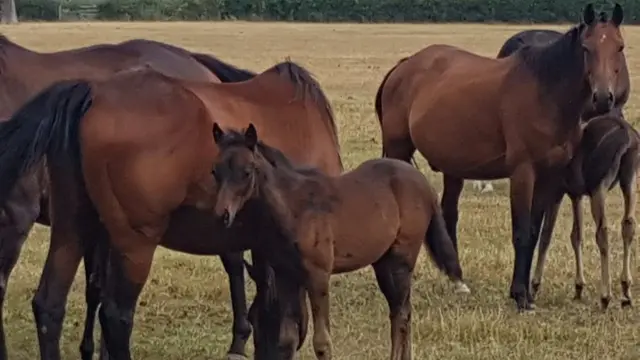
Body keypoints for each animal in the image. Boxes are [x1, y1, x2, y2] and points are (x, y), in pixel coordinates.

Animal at [212, 124, 468, 360]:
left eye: (246, 172)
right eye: (215, 171)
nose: (222, 215)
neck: (295, 207)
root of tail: (425, 184)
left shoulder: (318, 276)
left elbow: (322, 342)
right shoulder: (286, 277)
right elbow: (287, 338)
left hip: (401, 258)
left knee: (401, 313)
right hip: (383, 262)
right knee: (401, 311)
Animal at [372, 2, 628, 310]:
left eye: (620, 47)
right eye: (587, 48)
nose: (603, 98)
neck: (546, 93)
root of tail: (404, 67)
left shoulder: (548, 177)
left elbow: (534, 231)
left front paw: (526, 293)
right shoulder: (523, 172)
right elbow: (521, 232)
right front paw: (519, 295)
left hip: (453, 165)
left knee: (448, 214)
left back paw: (457, 280)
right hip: (398, 150)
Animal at [528, 114, 640, 308]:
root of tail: (627, 137)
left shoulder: (556, 190)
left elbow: (545, 236)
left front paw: (535, 285)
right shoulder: (576, 194)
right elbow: (576, 235)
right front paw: (579, 287)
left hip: (599, 186)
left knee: (603, 231)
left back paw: (605, 296)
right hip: (629, 178)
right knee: (628, 225)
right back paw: (626, 291)